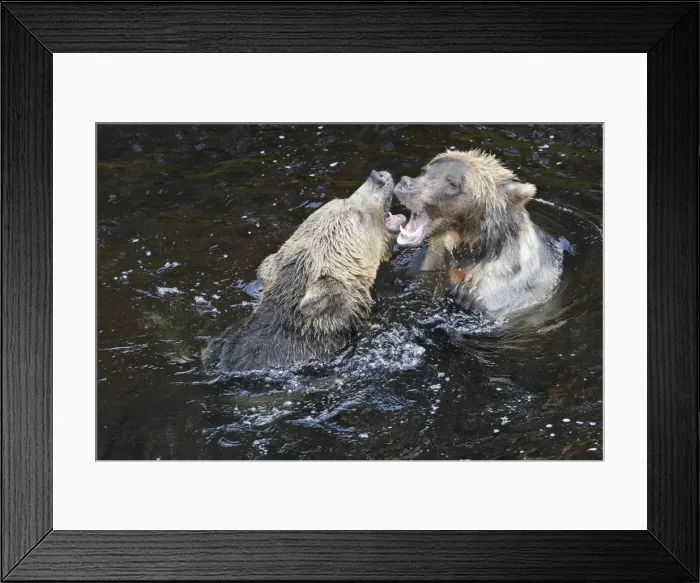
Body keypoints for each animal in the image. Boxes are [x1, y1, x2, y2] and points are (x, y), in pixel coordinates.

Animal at [393, 149, 568, 317]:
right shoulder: (430, 263)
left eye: (453, 183)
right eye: (425, 170)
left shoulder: (507, 286)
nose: (406, 184)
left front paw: (465, 295)